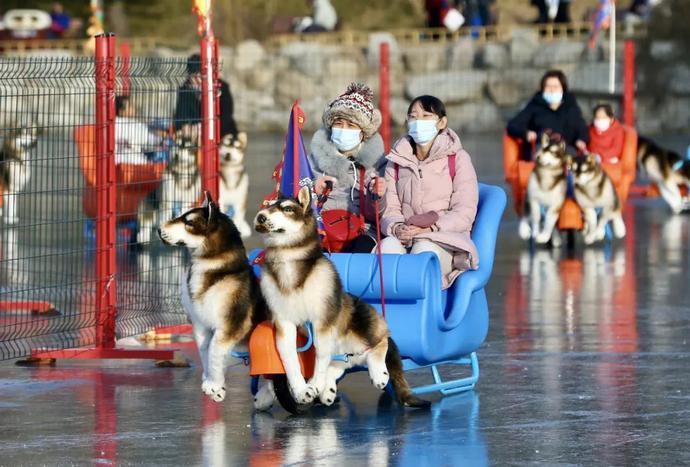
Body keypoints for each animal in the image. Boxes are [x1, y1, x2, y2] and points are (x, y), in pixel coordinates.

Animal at [159, 192, 268, 404]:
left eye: (189, 222)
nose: (159, 230)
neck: (215, 270)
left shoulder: (230, 326)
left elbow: (214, 351)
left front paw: (214, 385)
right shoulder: (201, 325)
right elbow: (205, 352)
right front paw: (212, 381)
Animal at [253, 187, 424, 410]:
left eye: (287, 209)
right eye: (267, 206)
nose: (260, 217)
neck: (290, 262)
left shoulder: (322, 320)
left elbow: (320, 355)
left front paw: (315, 384)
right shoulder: (283, 322)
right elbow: (289, 358)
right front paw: (301, 390)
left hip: (362, 317)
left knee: (381, 341)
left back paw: (378, 373)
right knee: (339, 365)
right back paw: (324, 391)